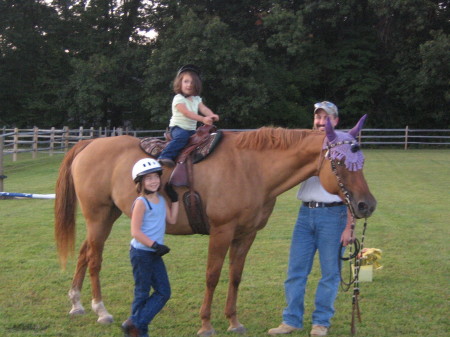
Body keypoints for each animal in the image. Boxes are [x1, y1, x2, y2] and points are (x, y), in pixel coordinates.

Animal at [52, 114, 376, 334]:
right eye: (338, 162)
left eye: (361, 162)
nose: (366, 205)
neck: (251, 168)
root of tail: (89, 143)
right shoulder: (221, 231)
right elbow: (212, 276)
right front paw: (206, 324)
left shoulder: (246, 234)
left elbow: (235, 276)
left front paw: (233, 320)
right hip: (98, 215)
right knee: (94, 258)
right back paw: (100, 310)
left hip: (108, 215)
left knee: (84, 253)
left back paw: (76, 304)